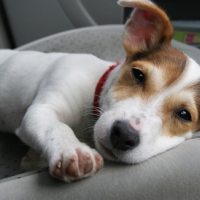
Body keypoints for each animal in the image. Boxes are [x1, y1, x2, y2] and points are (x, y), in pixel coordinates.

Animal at [0, 0, 200, 182]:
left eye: (184, 114)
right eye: (138, 74)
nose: (124, 135)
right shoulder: (43, 108)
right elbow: (56, 126)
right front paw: (71, 149)